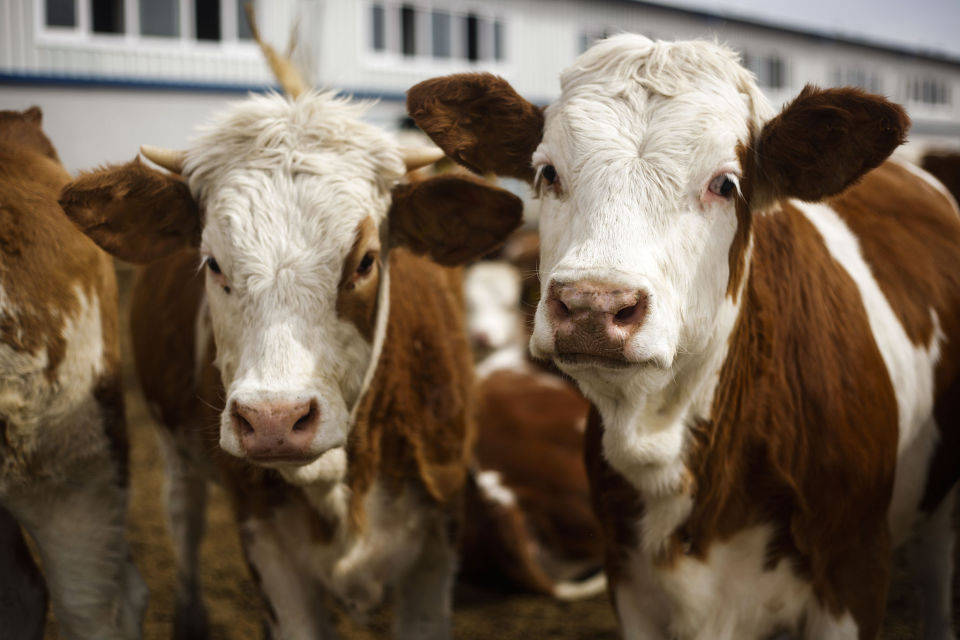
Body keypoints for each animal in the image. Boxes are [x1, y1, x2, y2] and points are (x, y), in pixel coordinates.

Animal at [56, 33, 520, 636]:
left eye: (366, 261)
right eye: (213, 263)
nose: (273, 420)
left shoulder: (438, 541)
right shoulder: (267, 544)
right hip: (173, 446)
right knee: (183, 516)